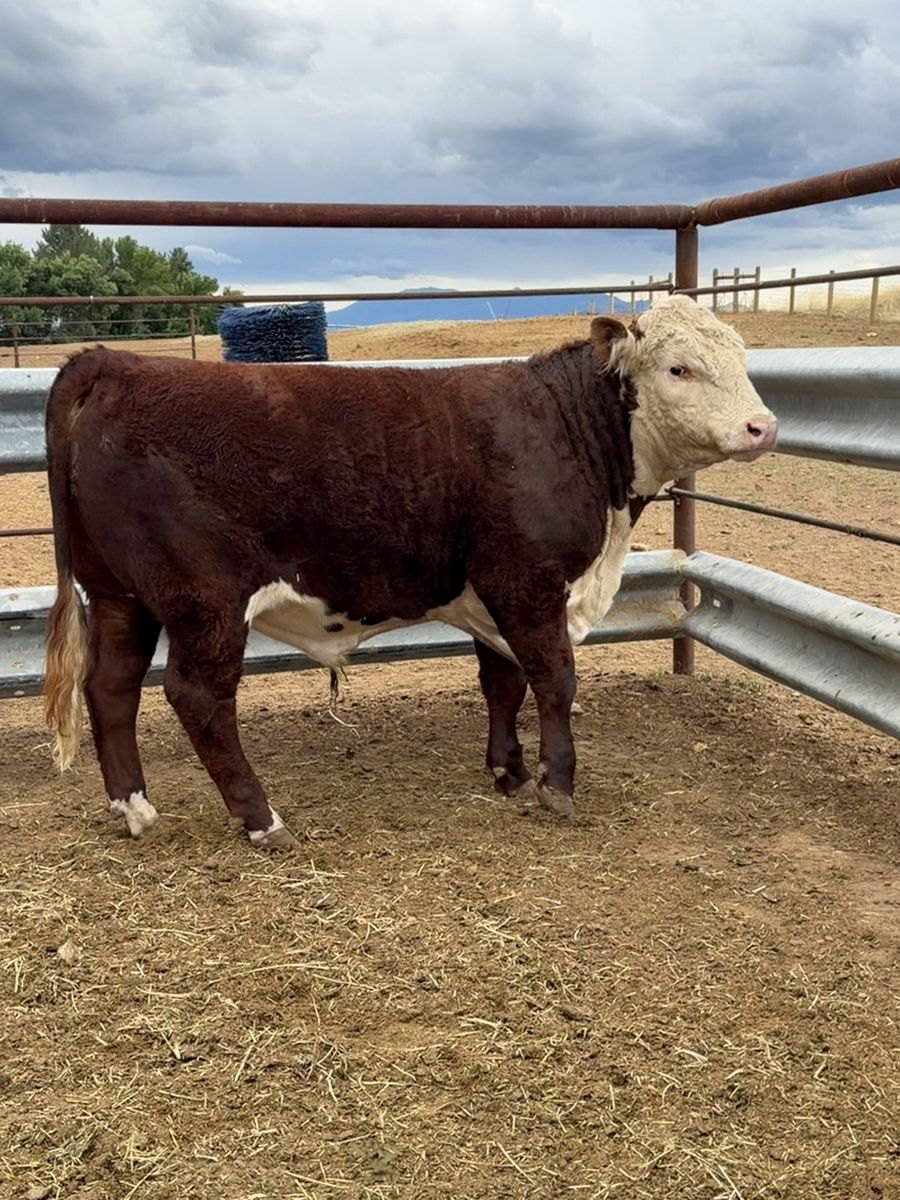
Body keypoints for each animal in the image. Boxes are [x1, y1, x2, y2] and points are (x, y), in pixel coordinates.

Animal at [43, 296, 777, 849]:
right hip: (204, 602)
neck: (565, 431)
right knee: (197, 699)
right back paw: (262, 820)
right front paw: (557, 785)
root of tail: (113, 363)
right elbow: (555, 682)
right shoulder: (528, 584)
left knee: (110, 688)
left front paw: (509, 772)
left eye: (740, 358)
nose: (762, 426)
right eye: (679, 368)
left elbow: (503, 683)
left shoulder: (490, 592)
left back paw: (136, 810)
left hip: (120, 594)